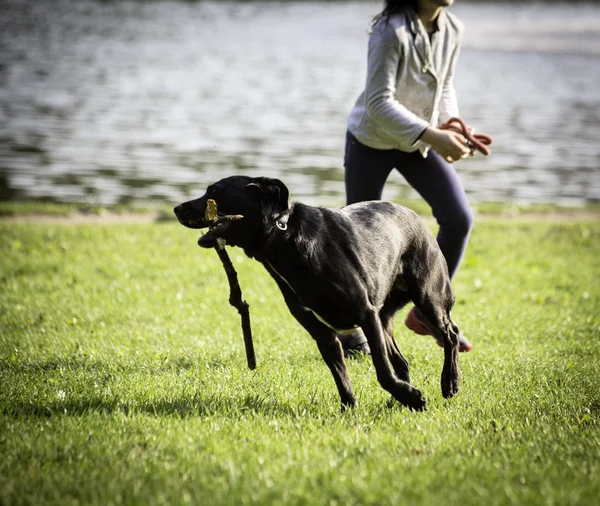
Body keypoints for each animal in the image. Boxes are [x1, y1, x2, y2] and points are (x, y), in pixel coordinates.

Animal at [172, 177, 460, 412]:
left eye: (214, 191)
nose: (177, 209)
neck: (282, 237)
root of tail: (415, 215)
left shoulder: (365, 314)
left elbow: (381, 371)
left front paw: (414, 399)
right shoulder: (323, 333)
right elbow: (341, 376)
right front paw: (349, 409)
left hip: (428, 297)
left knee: (451, 334)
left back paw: (449, 383)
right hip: (385, 316)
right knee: (401, 360)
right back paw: (398, 400)